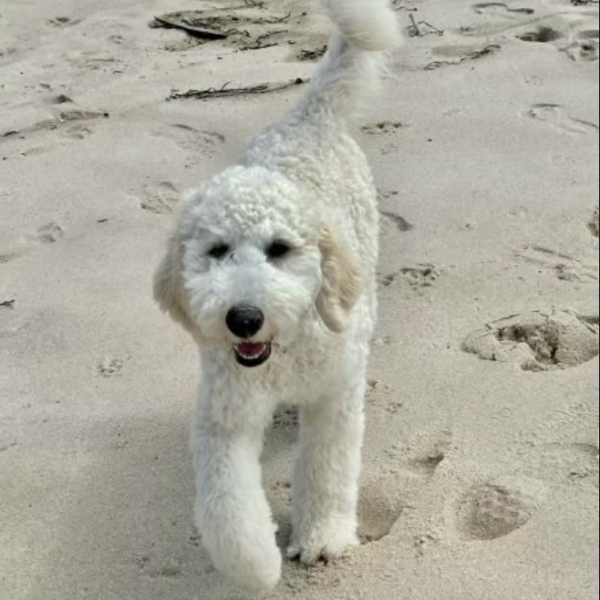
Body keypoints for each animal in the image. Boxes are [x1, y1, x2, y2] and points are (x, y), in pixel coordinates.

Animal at [152, 0, 400, 592]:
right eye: (217, 251)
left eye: (280, 249)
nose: (243, 319)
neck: (284, 354)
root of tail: (308, 116)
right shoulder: (225, 413)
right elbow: (225, 502)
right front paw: (256, 562)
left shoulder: (334, 398)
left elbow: (327, 468)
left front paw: (323, 536)